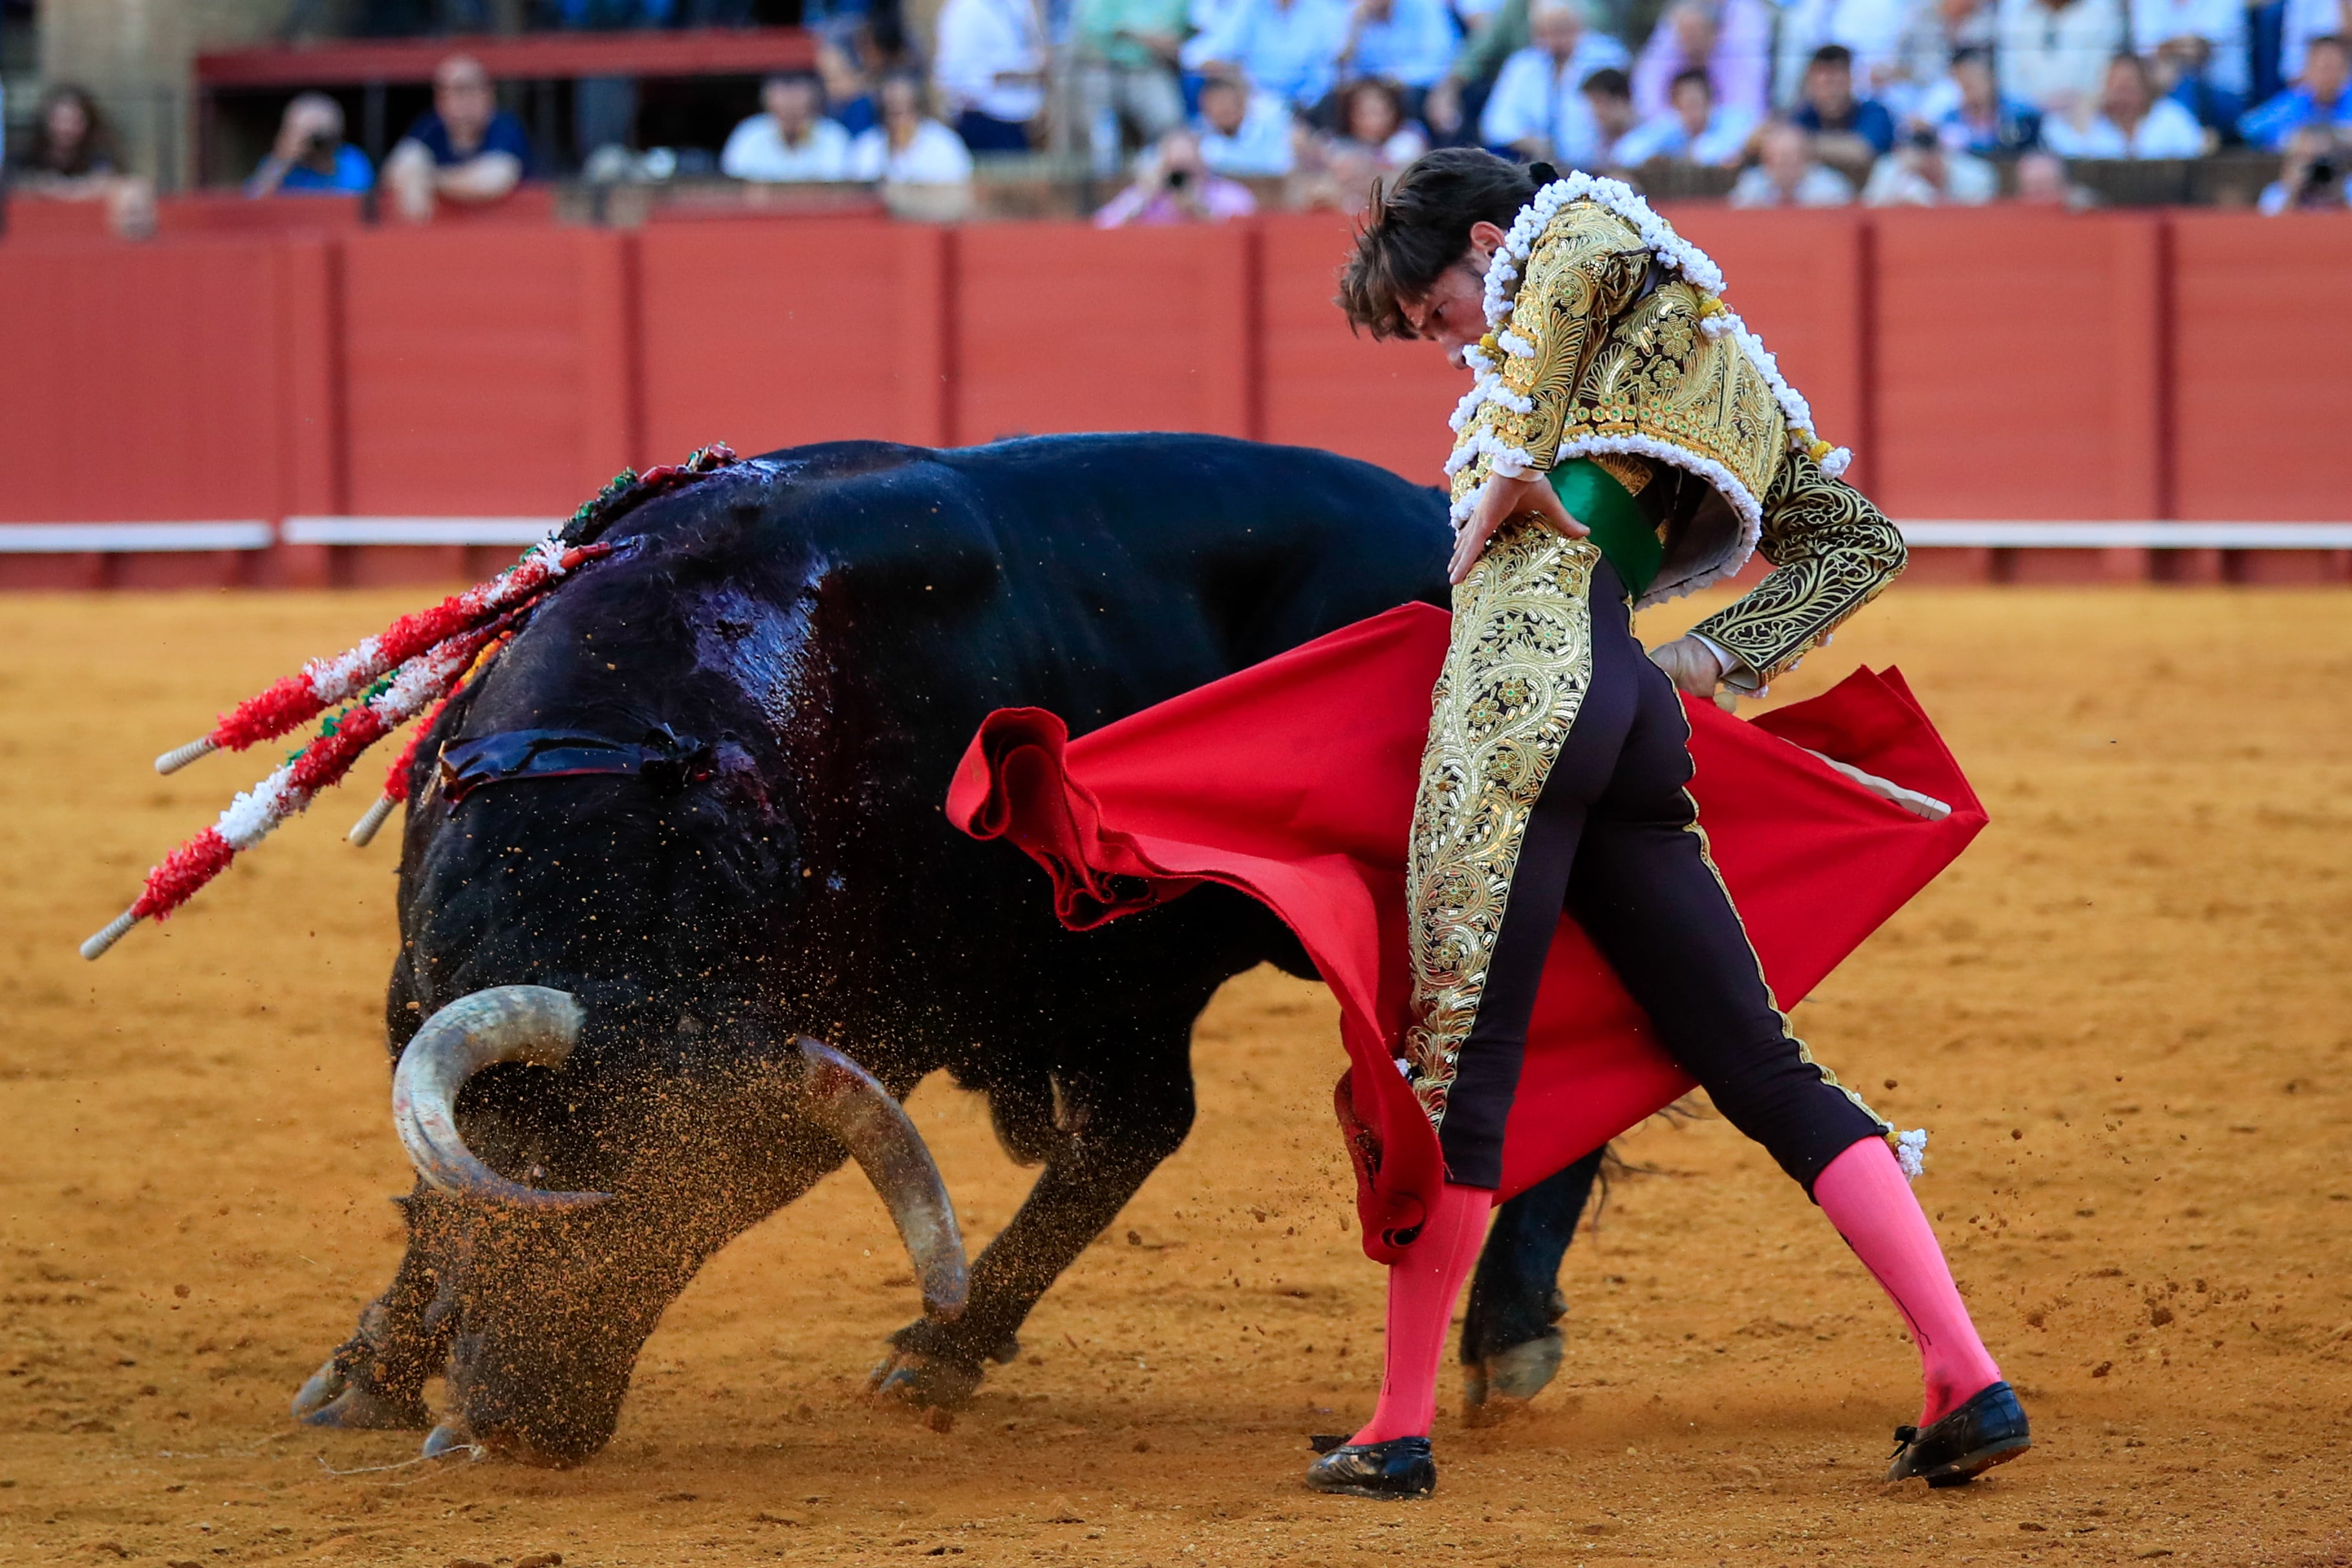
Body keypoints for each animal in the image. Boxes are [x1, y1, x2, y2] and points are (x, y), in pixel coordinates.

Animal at [289, 435, 1599, 1466]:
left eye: (703, 1222)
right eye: (546, 1166)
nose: (531, 1422)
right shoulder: (417, 996)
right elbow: (435, 1186)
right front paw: (365, 1375)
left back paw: (1505, 1337)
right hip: (1128, 976)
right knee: (1136, 1126)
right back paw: (947, 1348)